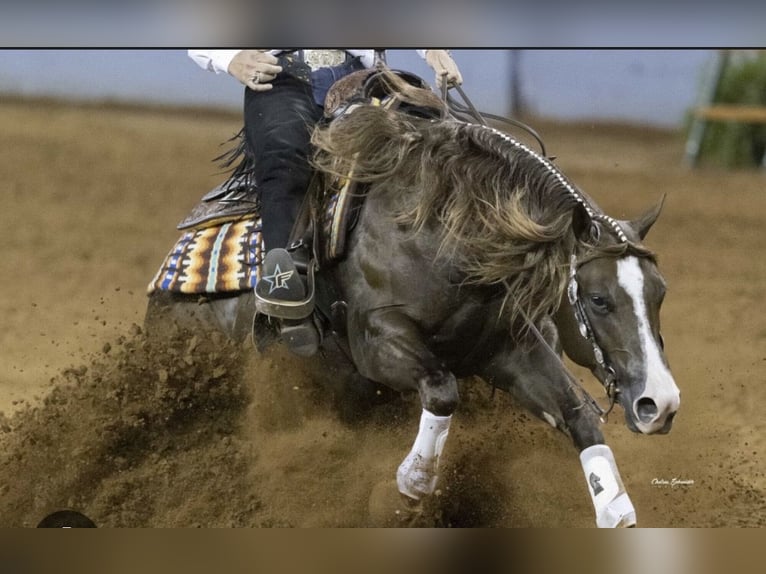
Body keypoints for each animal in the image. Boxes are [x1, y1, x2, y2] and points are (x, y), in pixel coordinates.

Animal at [145, 77, 679, 527]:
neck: (445, 234)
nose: (660, 404)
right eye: (599, 299)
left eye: (660, 292)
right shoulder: (379, 341)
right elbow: (442, 391)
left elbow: (579, 415)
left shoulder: (511, 350)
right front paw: (409, 488)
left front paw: (615, 509)